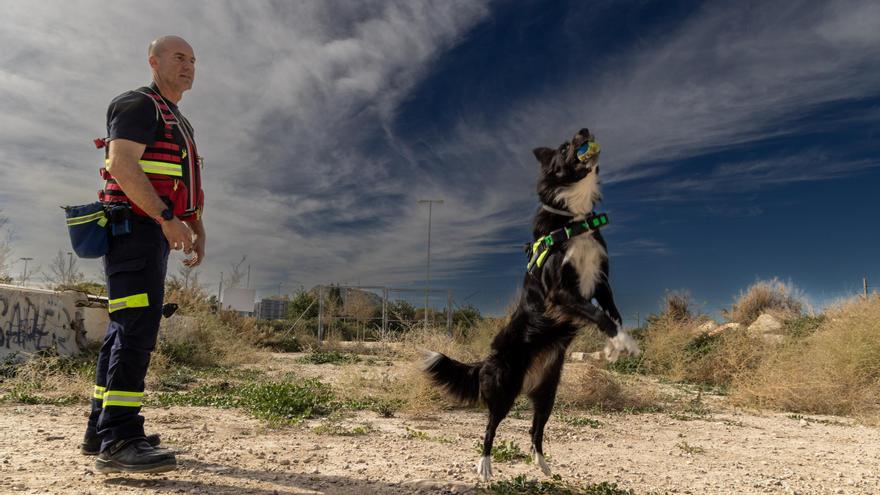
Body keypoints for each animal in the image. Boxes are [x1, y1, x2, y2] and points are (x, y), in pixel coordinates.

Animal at [422, 127, 636, 480]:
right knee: (490, 428)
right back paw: (485, 466)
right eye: (563, 147)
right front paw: (622, 342)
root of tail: (486, 360)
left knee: (534, 431)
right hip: (504, 390)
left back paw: (543, 465)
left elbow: (613, 314)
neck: (573, 218)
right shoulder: (559, 293)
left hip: (548, 394)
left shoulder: (602, 281)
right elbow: (596, 313)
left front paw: (618, 343)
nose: (585, 130)